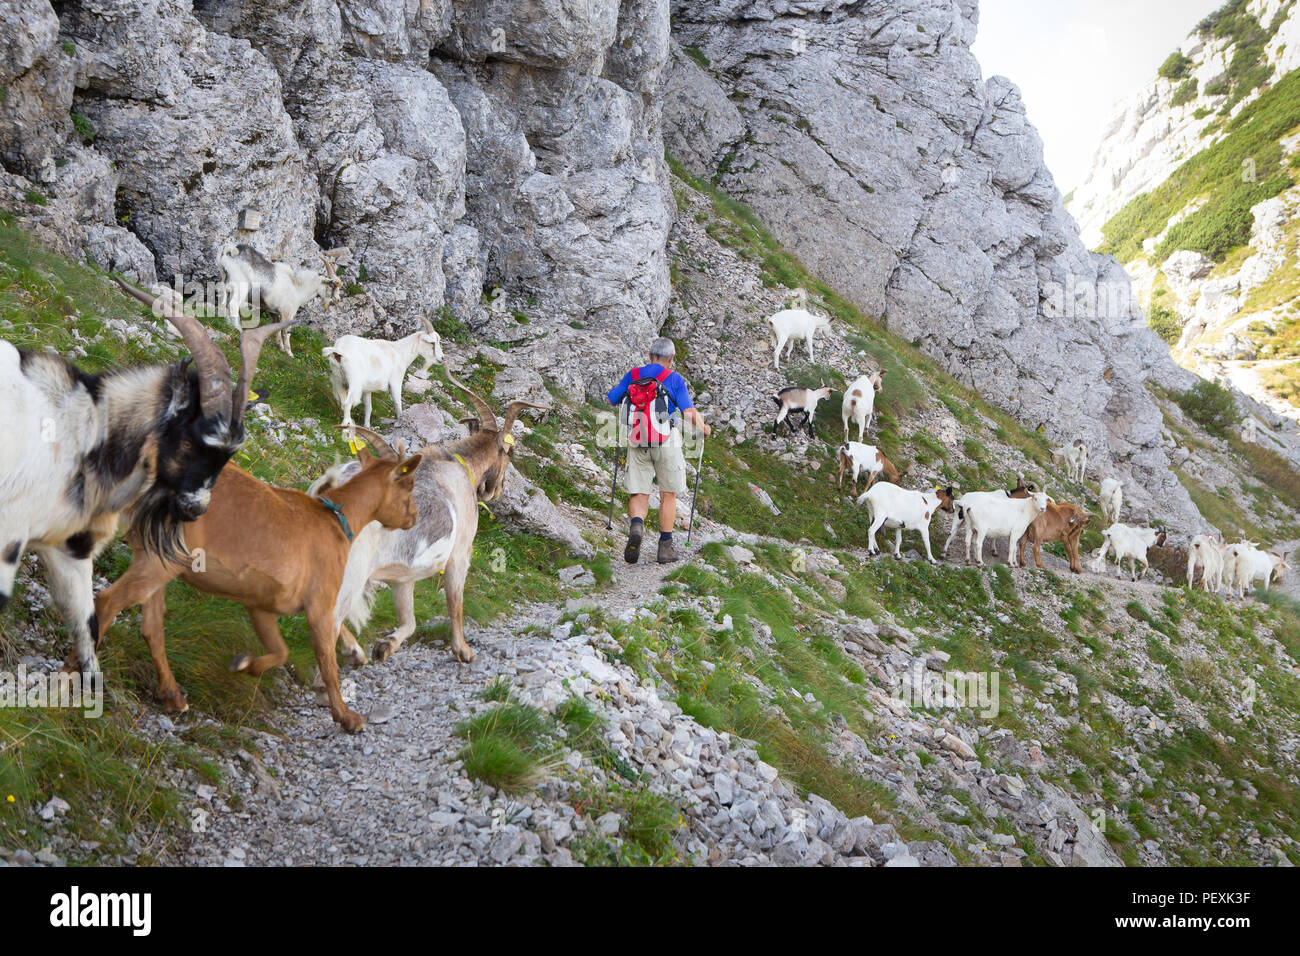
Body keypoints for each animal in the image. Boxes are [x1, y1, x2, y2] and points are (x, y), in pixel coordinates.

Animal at [92, 434, 426, 733]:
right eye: (409, 486)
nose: (414, 517)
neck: (335, 520)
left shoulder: (260, 603)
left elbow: (281, 652)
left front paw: (243, 664)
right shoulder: (319, 604)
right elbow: (327, 663)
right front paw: (347, 718)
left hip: (157, 554)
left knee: (150, 626)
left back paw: (173, 696)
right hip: (164, 559)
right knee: (105, 603)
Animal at [220, 240, 348, 356]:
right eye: (332, 285)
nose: (337, 300)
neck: (297, 287)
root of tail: (231, 251)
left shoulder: (273, 312)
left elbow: (276, 328)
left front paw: (280, 347)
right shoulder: (287, 313)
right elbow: (287, 331)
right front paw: (289, 352)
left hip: (226, 283)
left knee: (224, 303)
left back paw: (228, 324)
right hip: (240, 287)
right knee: (233, 305)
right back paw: (238, 329)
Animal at [314, 374, 548, 665]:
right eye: (510, 454)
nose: (495, 489)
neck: (458, 467)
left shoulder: (404, 575)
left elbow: (409, 620)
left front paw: (386, 645)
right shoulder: (460, 553)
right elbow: (455, 601)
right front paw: (463, 651)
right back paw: (353, 651)